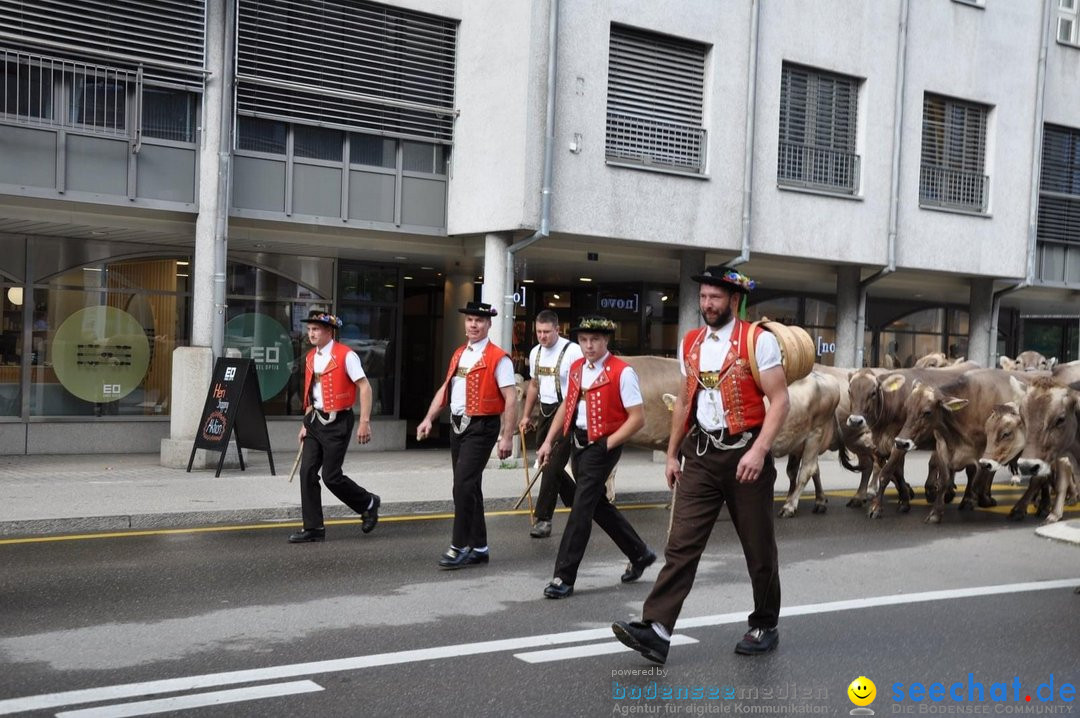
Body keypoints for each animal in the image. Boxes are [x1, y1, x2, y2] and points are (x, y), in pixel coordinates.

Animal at [889, 369, 1023, 520]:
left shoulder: (983, 453)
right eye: (907, 407)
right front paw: (937, 510)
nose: (901, 442)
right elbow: (944, 478)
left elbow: (975, 475)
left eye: (927, 412)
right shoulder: (942, 448)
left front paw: (969, 500)